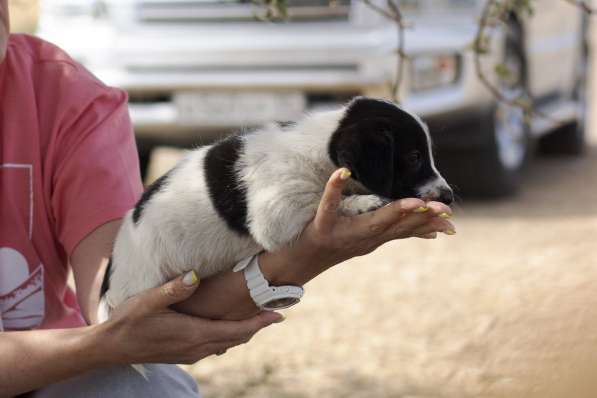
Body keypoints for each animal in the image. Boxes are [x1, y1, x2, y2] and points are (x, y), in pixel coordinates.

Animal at [98, 97, 452, 320]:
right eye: (414, 157)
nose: (448, 196)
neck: (317, 148)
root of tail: (111, 277)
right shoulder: (280, 211)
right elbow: (324, 200)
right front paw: (362, 202)